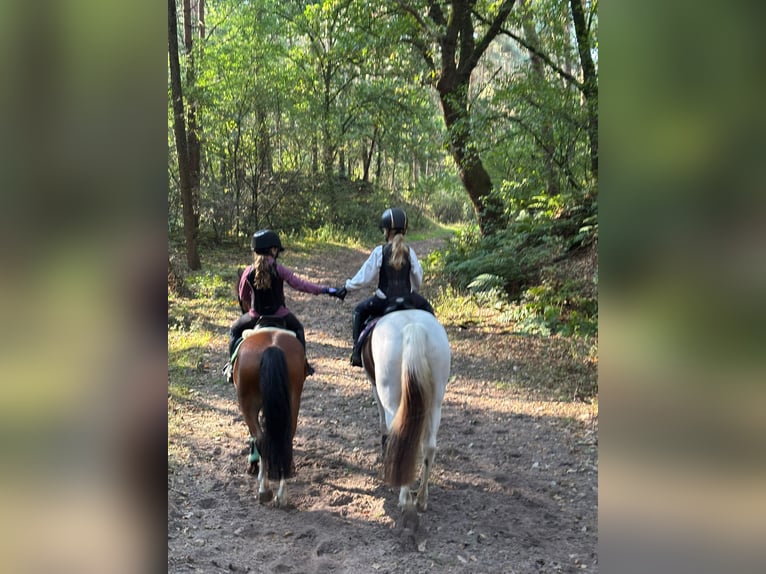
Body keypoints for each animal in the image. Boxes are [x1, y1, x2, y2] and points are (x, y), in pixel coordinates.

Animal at [232, 326, 306, 507]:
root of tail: (272, 348)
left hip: (247, 404)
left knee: (261, 439)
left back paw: (264, 489)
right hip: (292, 401)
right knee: (285, 439)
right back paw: (281, 495)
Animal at [361, 309, 451, 525]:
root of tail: (414, 327)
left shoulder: (375, 388)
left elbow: (382, 424)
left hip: (391, 397)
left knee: (401, 438)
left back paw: (404, 499)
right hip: (435, 402)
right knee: (428, 447)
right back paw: (421, 500)